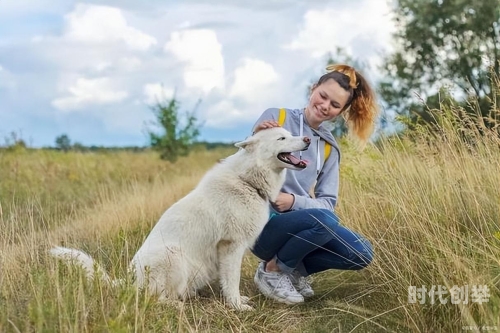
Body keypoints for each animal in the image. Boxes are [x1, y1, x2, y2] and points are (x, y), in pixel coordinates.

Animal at [49, 126, 308, 308]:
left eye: (290, 134)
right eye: (281, 139)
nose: (307, 139)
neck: (248, 181)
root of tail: (127, 282)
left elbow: (228, 282)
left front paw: (238, 302)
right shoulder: (231, 247)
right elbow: (231, 281)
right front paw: (236, 306)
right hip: (174, 256)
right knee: (153, 299)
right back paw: (176, 305)